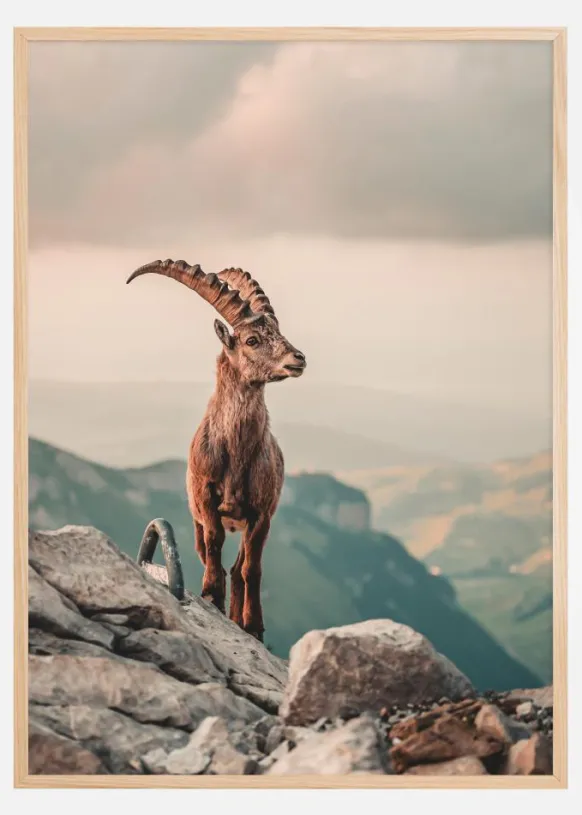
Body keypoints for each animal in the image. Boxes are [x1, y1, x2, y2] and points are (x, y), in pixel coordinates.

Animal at [126, 259, 306, 640]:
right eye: (252, 339)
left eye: (278, 332)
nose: (298, 358)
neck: (236, 453)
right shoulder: (206, 501)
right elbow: (213, 546)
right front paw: (211, 594)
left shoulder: (262, 513)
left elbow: (252, 569)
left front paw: (254, 625)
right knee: (217, 557)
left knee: (240, 567)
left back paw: (241, 617)